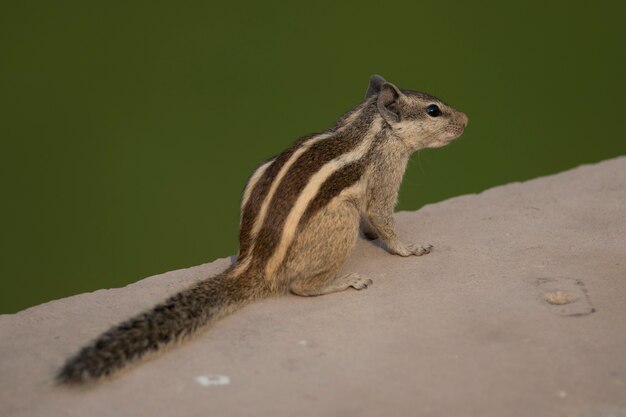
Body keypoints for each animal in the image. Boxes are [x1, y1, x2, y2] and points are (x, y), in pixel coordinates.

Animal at [58, 75, 466, 384]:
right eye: (433, 110)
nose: (466, 119)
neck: (368, 125)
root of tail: (256, 264)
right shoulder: (385, 176)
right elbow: (383, 218)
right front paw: (410, 248)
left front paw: (375, 238)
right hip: (340, 221)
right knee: (302, 287)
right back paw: (345, 281)